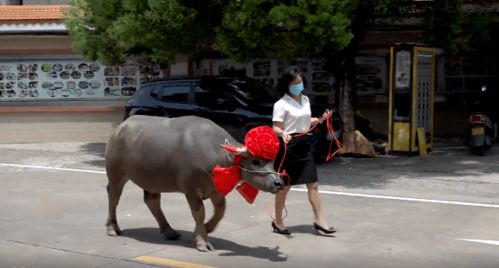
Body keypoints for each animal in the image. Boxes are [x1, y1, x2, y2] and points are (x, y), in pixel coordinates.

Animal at [104, 115, 286, 251]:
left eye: (272, 161)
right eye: (255, 161)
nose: (278, 183)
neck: (217, 158)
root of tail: (119, 128)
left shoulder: (215, 190)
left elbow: (220, 211)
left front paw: (207, 228)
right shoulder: (191, 189)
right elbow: (199, 213)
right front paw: (202, 241)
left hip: (152, 179)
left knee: (152, 201)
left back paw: (169, 231)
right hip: (116, 172)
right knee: (114, 196)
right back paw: (112, 227)